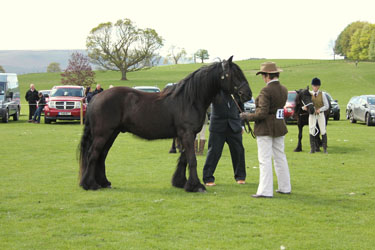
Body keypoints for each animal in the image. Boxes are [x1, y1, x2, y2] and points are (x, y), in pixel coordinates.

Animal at [79, 56, 253, 192]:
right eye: (233, 74)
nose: (248, 94)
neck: (189, 99)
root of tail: (96, 98)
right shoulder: (186, 133)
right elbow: (192, 159)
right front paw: (197, 186)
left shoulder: (188, 135)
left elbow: (184, 158)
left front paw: (181, 183)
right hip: (103, 134)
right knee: (93, 154)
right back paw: (90, 184)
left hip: (112, 133)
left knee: (102, 155)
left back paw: (103, 182)